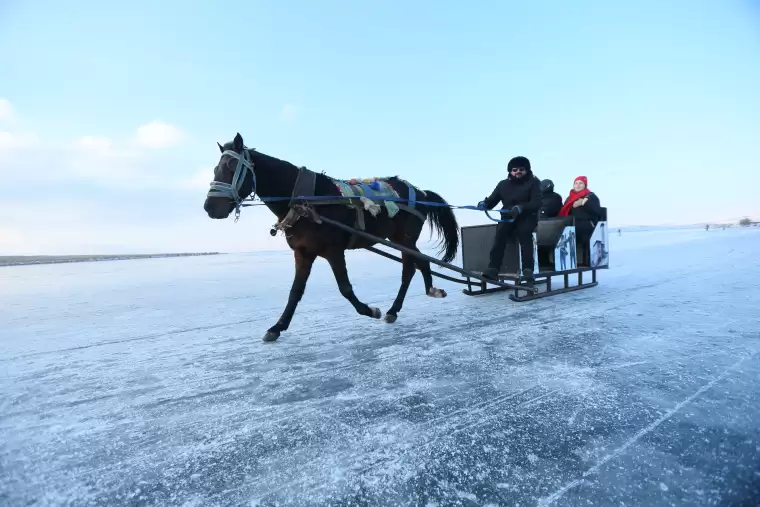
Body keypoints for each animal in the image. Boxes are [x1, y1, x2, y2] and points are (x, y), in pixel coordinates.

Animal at [202, 133, 460, 344]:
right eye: (215, 169)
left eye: (231, 166)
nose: (209, 207)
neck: (306, 201)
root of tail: (421, 192)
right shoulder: (303, 252)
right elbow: (295, 292)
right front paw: (277, 327)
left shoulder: (334, 250)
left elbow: (344, 288)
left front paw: (370, 310)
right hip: (399, 237)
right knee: (418, 263)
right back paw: (415, 298)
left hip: (405, 237)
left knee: (412, 267)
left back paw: (401, 305)